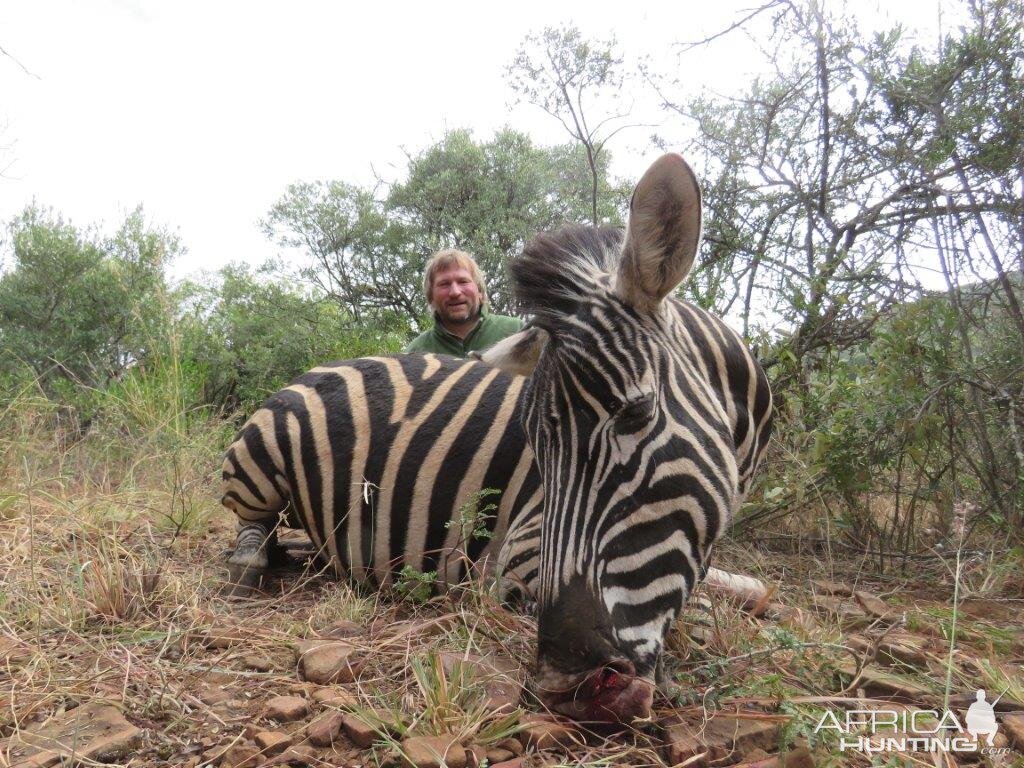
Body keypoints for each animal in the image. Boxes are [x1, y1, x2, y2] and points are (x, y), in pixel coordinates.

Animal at [222, 154, 770, 729]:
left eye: (636, 413)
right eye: (535, 447)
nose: (566, 684)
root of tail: (318, 366)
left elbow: (709, 596)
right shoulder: (521, 549)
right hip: (256, 462)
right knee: (253, 523)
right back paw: (249, 562)